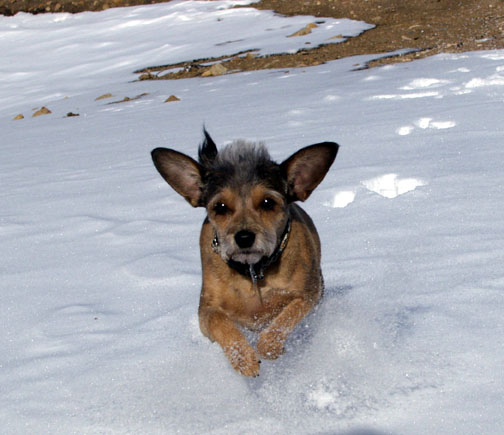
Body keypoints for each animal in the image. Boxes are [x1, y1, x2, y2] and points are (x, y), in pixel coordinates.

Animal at [150, 130, 338, 378]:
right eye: (220, 207)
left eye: (267, 202)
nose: (244, 237)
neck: (253, 270)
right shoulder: (206, 311)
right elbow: (220, 323)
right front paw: (243, 358)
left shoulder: (309, 294)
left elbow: (286, 317)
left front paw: (270, 346)